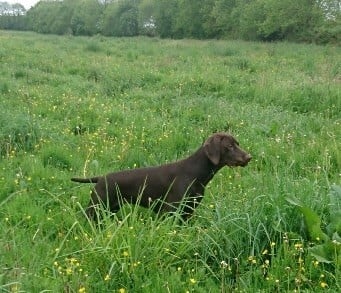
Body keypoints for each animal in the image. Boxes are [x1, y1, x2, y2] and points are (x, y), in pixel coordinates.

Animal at [71, 132, 250, 219]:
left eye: (237, 144)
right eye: (229, 146)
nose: (249, 157)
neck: (197, 173)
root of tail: (101, 178)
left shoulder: (187, 212)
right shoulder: (170, 211)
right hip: (96, 207)